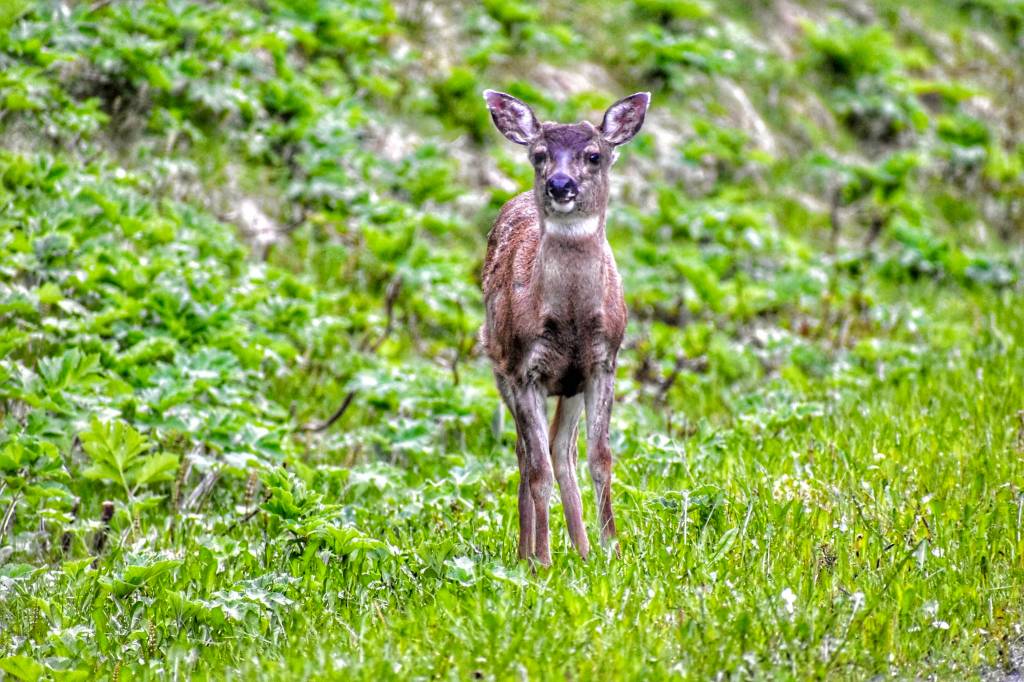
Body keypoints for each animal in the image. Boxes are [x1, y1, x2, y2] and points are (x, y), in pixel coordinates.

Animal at [480, 89, 650, 566]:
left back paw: (583, 549)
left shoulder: (602, 363)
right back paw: (528, 552)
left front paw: (612, 549)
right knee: (526, 454)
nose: (560, 185)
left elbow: (601, 458)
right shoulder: (523, 370)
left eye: (594, 155)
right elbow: (536, 470)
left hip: (570, 384)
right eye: (539, 154)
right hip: (499, 363)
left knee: (563, 450)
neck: (570, 322)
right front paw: (542, 560)